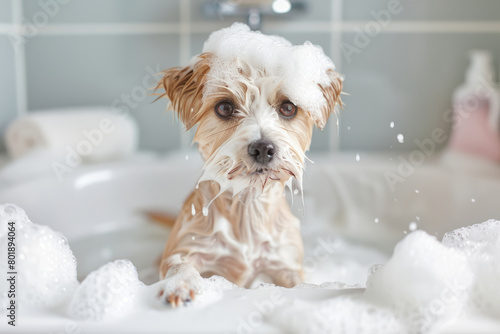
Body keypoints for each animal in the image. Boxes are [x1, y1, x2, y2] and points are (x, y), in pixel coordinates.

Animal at [155, 22, 344, 306]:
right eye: (224, 107)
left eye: (288, 107)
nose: (263, 148)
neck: (246, 211)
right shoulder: (185, 248)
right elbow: (180, 264)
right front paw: (180, 284)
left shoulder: (286, 264)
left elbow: (299, 283)